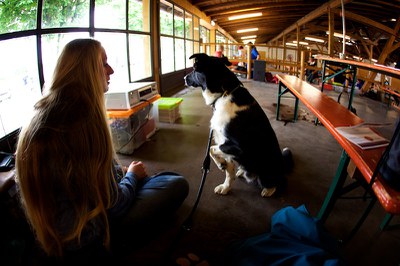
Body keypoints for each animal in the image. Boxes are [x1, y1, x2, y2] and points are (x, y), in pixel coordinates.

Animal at [186, 53, 292, 197]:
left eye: (194, 69)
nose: (184, 78)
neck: (224, 93)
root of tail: (283, 165)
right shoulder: (226, 146)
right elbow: (228, 171)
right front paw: (225, 185)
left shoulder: (237, 147)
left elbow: (212, 149)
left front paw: (220, 164)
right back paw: (241, 171)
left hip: (266, 171)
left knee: (277, 182)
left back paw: (268, 190)